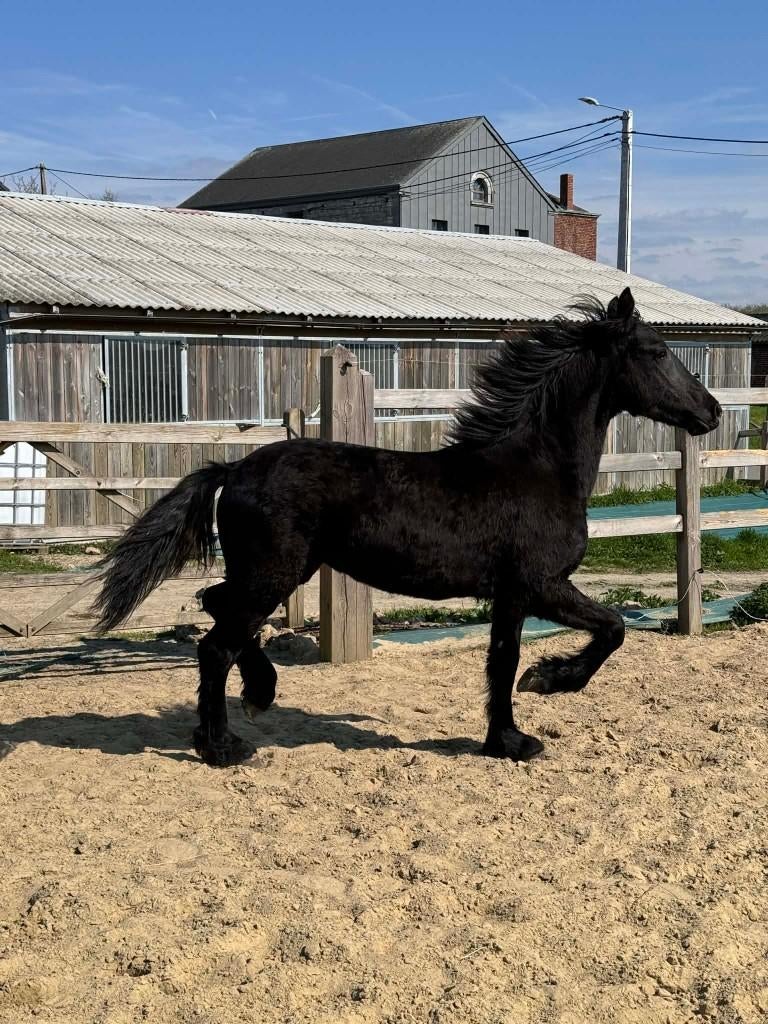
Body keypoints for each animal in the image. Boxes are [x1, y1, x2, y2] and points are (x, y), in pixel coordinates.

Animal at [94, 288, 721, 768]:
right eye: (656, 351)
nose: (710, 412)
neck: (536, 469)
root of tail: (234, 469)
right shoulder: (540, 584)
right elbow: (609, 629)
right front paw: (546, 683)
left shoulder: (510, 595)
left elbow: (502, 659)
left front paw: (507, 738)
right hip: (273, 573)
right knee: (216, 644)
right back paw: (225, 744)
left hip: (272, 572)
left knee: (215, 606)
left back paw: (255, 697)